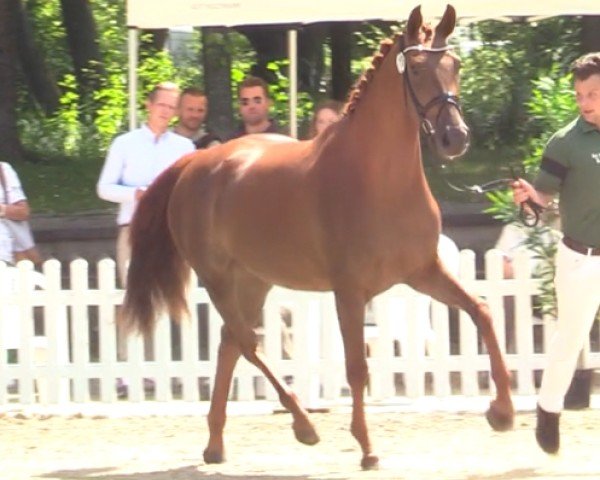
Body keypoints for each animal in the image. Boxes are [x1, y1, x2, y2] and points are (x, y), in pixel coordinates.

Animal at [123, 3, 516, 468]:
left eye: (455, 64)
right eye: (417, 68)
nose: (455, 138)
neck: (381, 180)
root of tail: (195, 161)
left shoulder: (423, 272)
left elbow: (482, 312)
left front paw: (502, 412)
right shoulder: (349, 290)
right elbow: (356, 367)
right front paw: (367, 448)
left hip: (253, 280)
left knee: (229, 345)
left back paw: (216, 444)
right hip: (218, 278)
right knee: (246, 342)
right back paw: (303, 425)